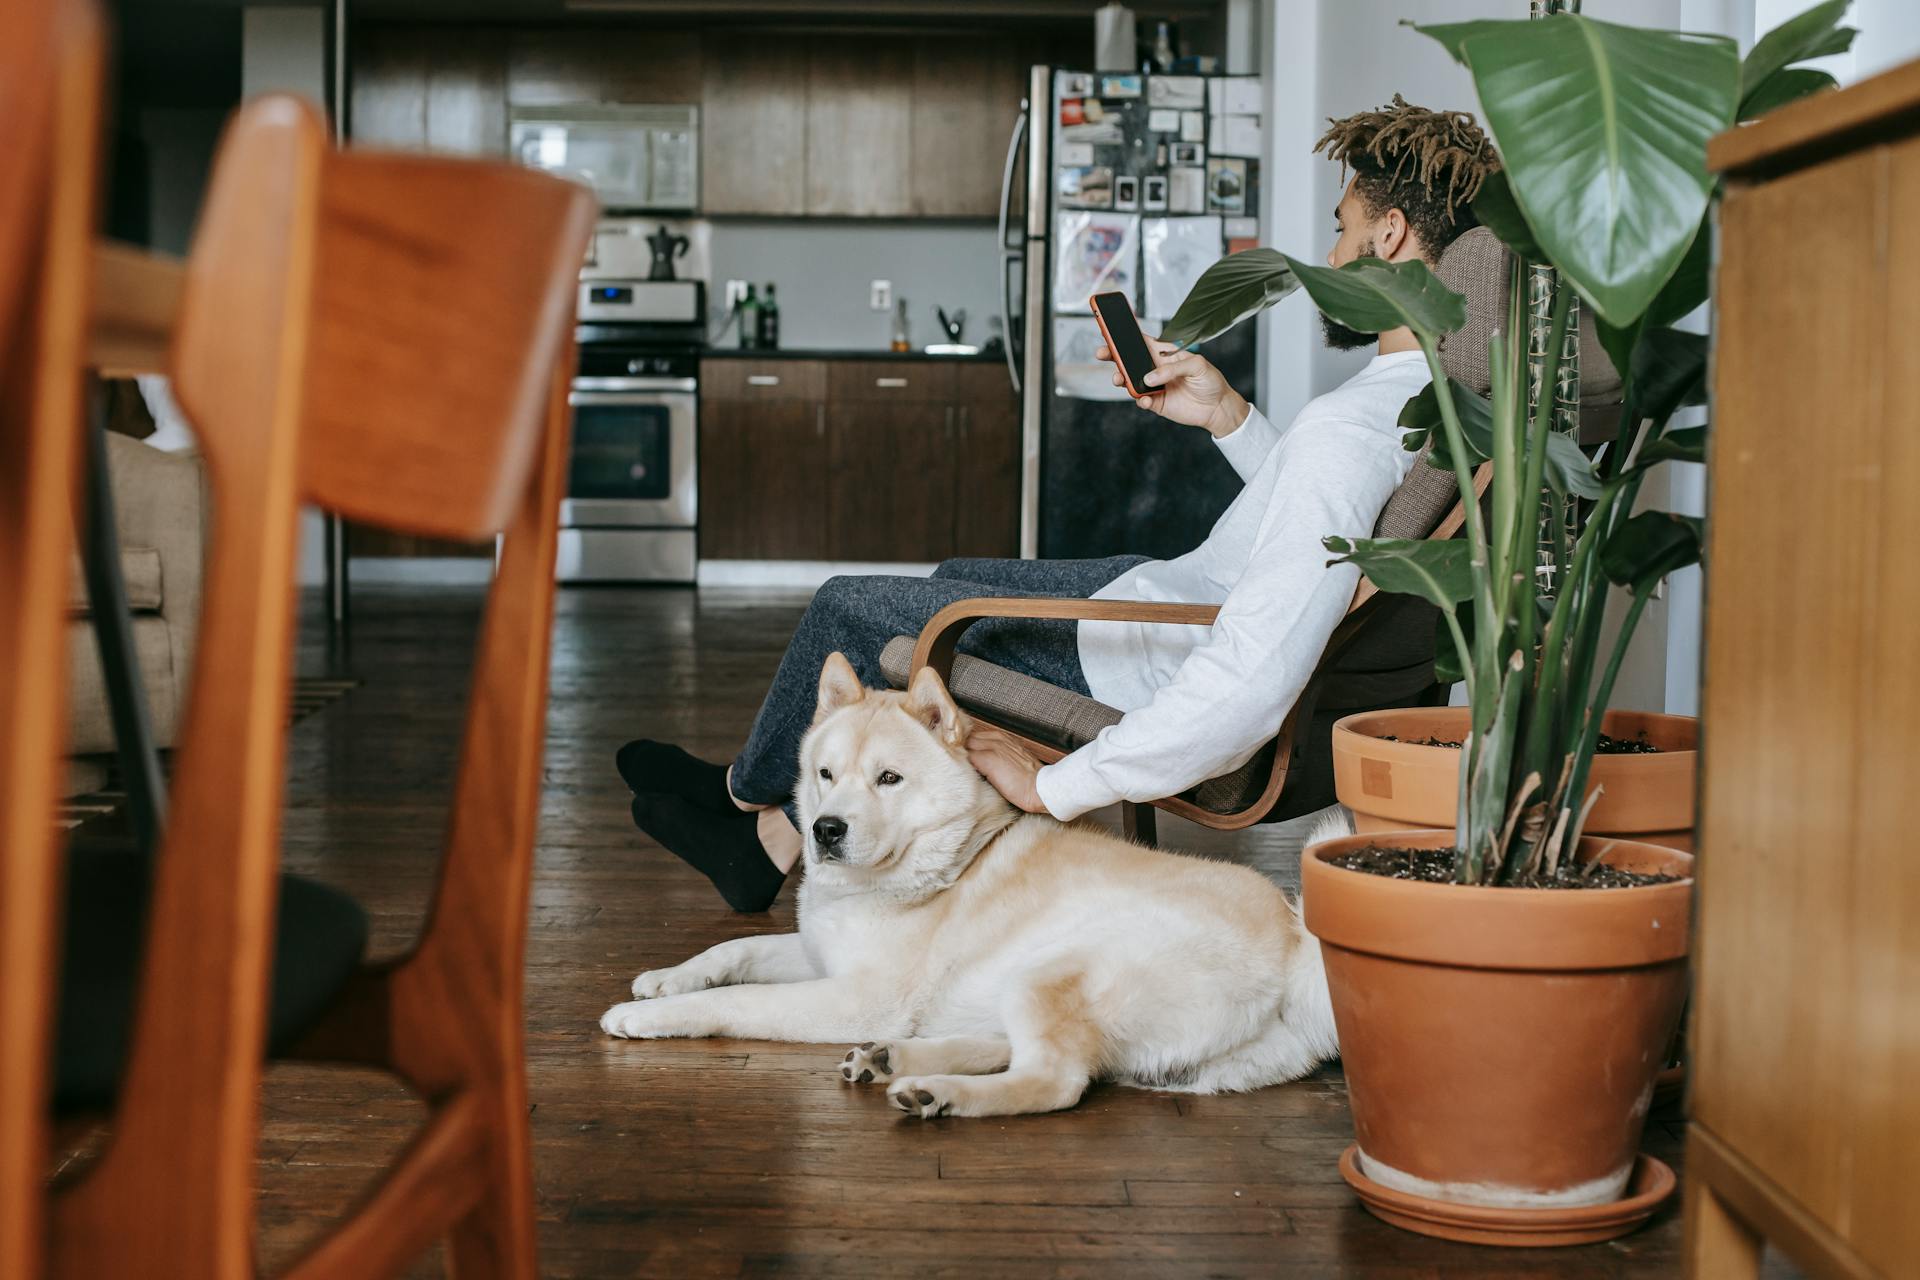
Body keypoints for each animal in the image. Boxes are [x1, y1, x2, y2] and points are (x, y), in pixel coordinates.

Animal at [599, 656, 1336, 1113]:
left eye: (889, 779)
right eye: (826, 774)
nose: (826, 831)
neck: (946, 860)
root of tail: (1295, 940)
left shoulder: (856, 996)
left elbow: (739, 1000)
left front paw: (650, 1016)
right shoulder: (818, 953)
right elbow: (735, 952)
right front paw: (665, 978)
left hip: (1052, 969)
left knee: (1054, 1081)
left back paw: (939, 1093)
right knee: (1011, 1048)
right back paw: (894, 1060)